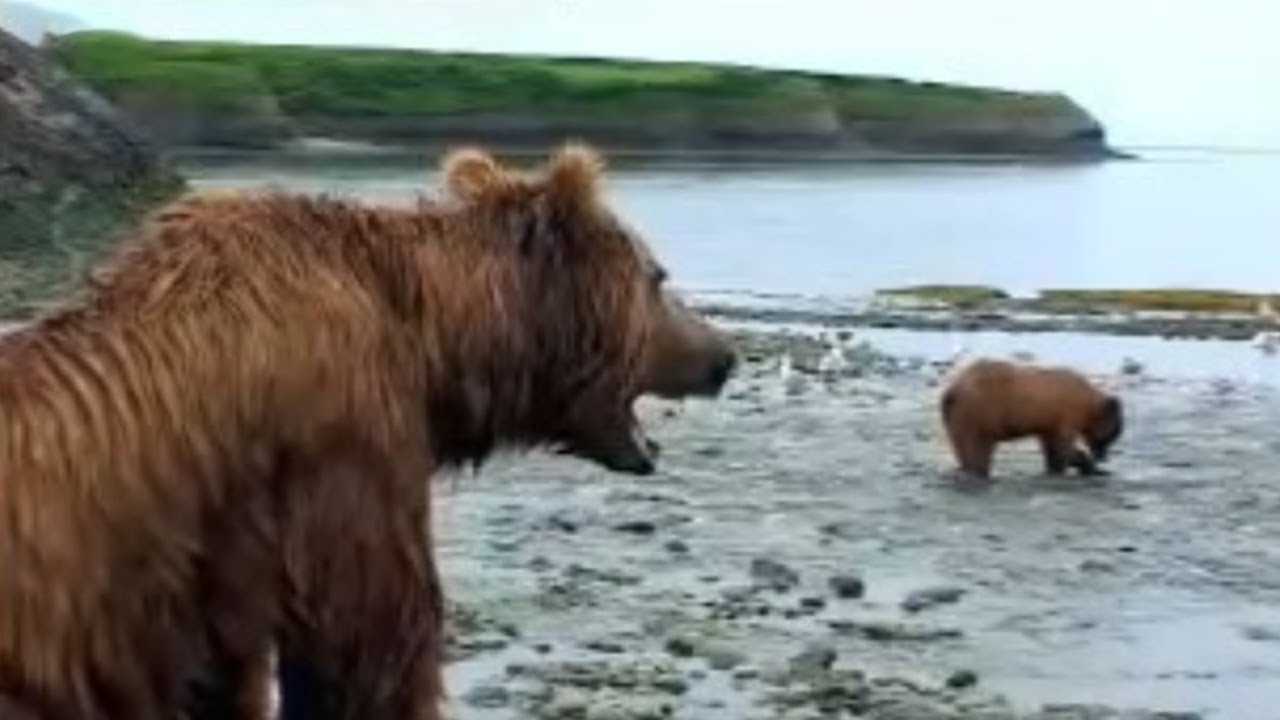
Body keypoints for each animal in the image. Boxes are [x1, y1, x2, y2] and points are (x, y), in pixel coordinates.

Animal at [0, 142, 737, 720]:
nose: (725, 356)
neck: (432, 336)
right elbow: (369, 638)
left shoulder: (211, 585)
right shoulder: (343, 448)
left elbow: (232, 678)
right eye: (658, 276)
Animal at [939, 358, 1123, 480]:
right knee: (978, 447)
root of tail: (952, 390)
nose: (1103, 457)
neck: (1086, 403)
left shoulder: (1047, 422)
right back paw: (978, 473)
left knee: (962, 447)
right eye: (1114, 433)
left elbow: (1051, 445)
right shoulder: (1065, 414)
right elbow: (1062, 447)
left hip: (956, 416)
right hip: (980, 412)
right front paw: (1085, 466)